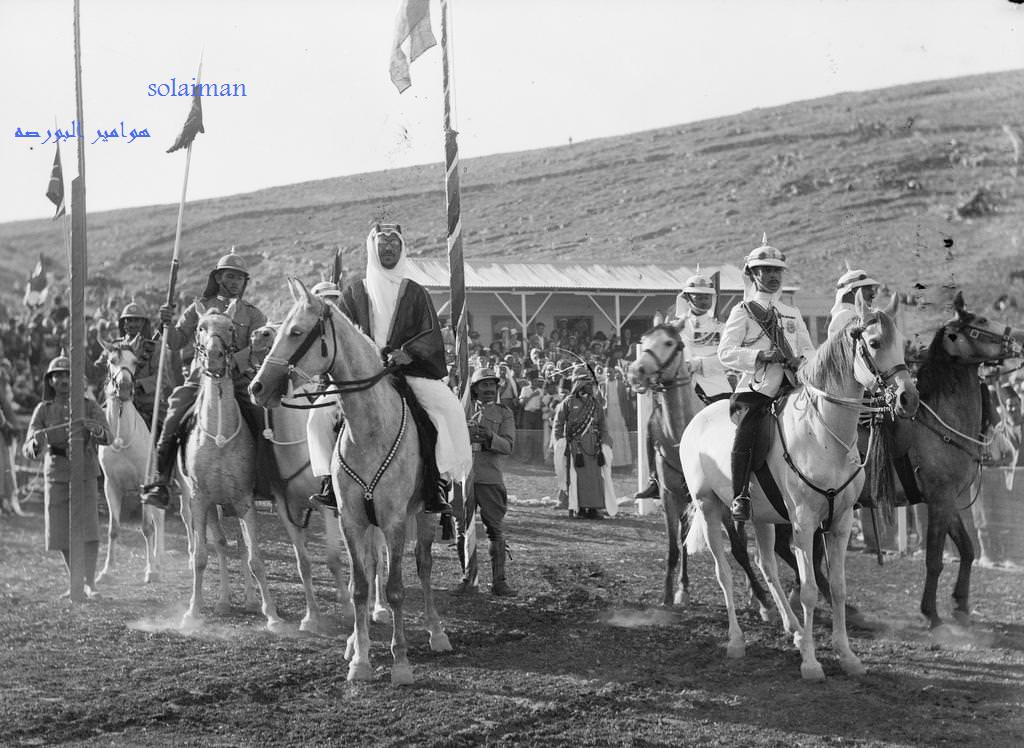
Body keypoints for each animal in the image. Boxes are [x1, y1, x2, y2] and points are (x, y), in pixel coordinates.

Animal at [684, 299, 917, 680]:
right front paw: (811, 662)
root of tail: (697, 419)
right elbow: (808, 589)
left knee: (766, 566)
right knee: (724, 573)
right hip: (709, 509)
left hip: (762, 517)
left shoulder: (839, 523)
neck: (822, 435)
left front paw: (846, 655)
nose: (908, 398)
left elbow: (836, 588)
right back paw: (736, 641)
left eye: (901, 342)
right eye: (875, 342)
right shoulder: (804, 524)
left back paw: (792, 629)